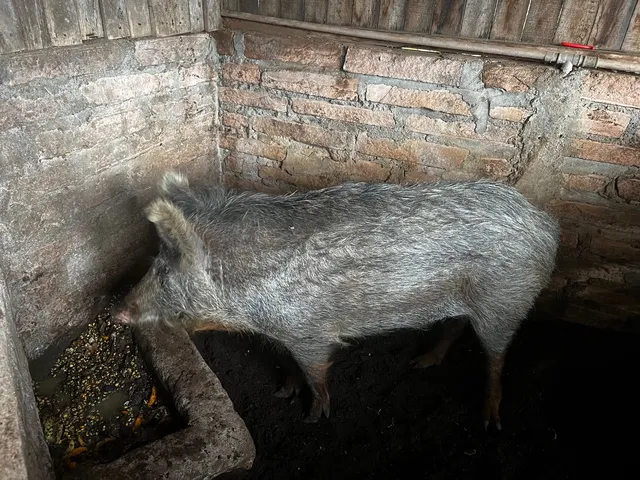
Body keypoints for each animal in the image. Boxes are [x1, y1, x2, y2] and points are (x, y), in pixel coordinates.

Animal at [116, 171, 560, 428]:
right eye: (155, 261)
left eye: (165, 270)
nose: (119, 310)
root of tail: (546, 226)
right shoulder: (284, 334)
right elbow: (290, 366)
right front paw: (283, 393)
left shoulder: (310, 332)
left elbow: (316, 373)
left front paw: (313, 418)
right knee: (455, 324)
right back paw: (422, 363)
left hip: (506, 300)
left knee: (496, 358)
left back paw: (489, 421)